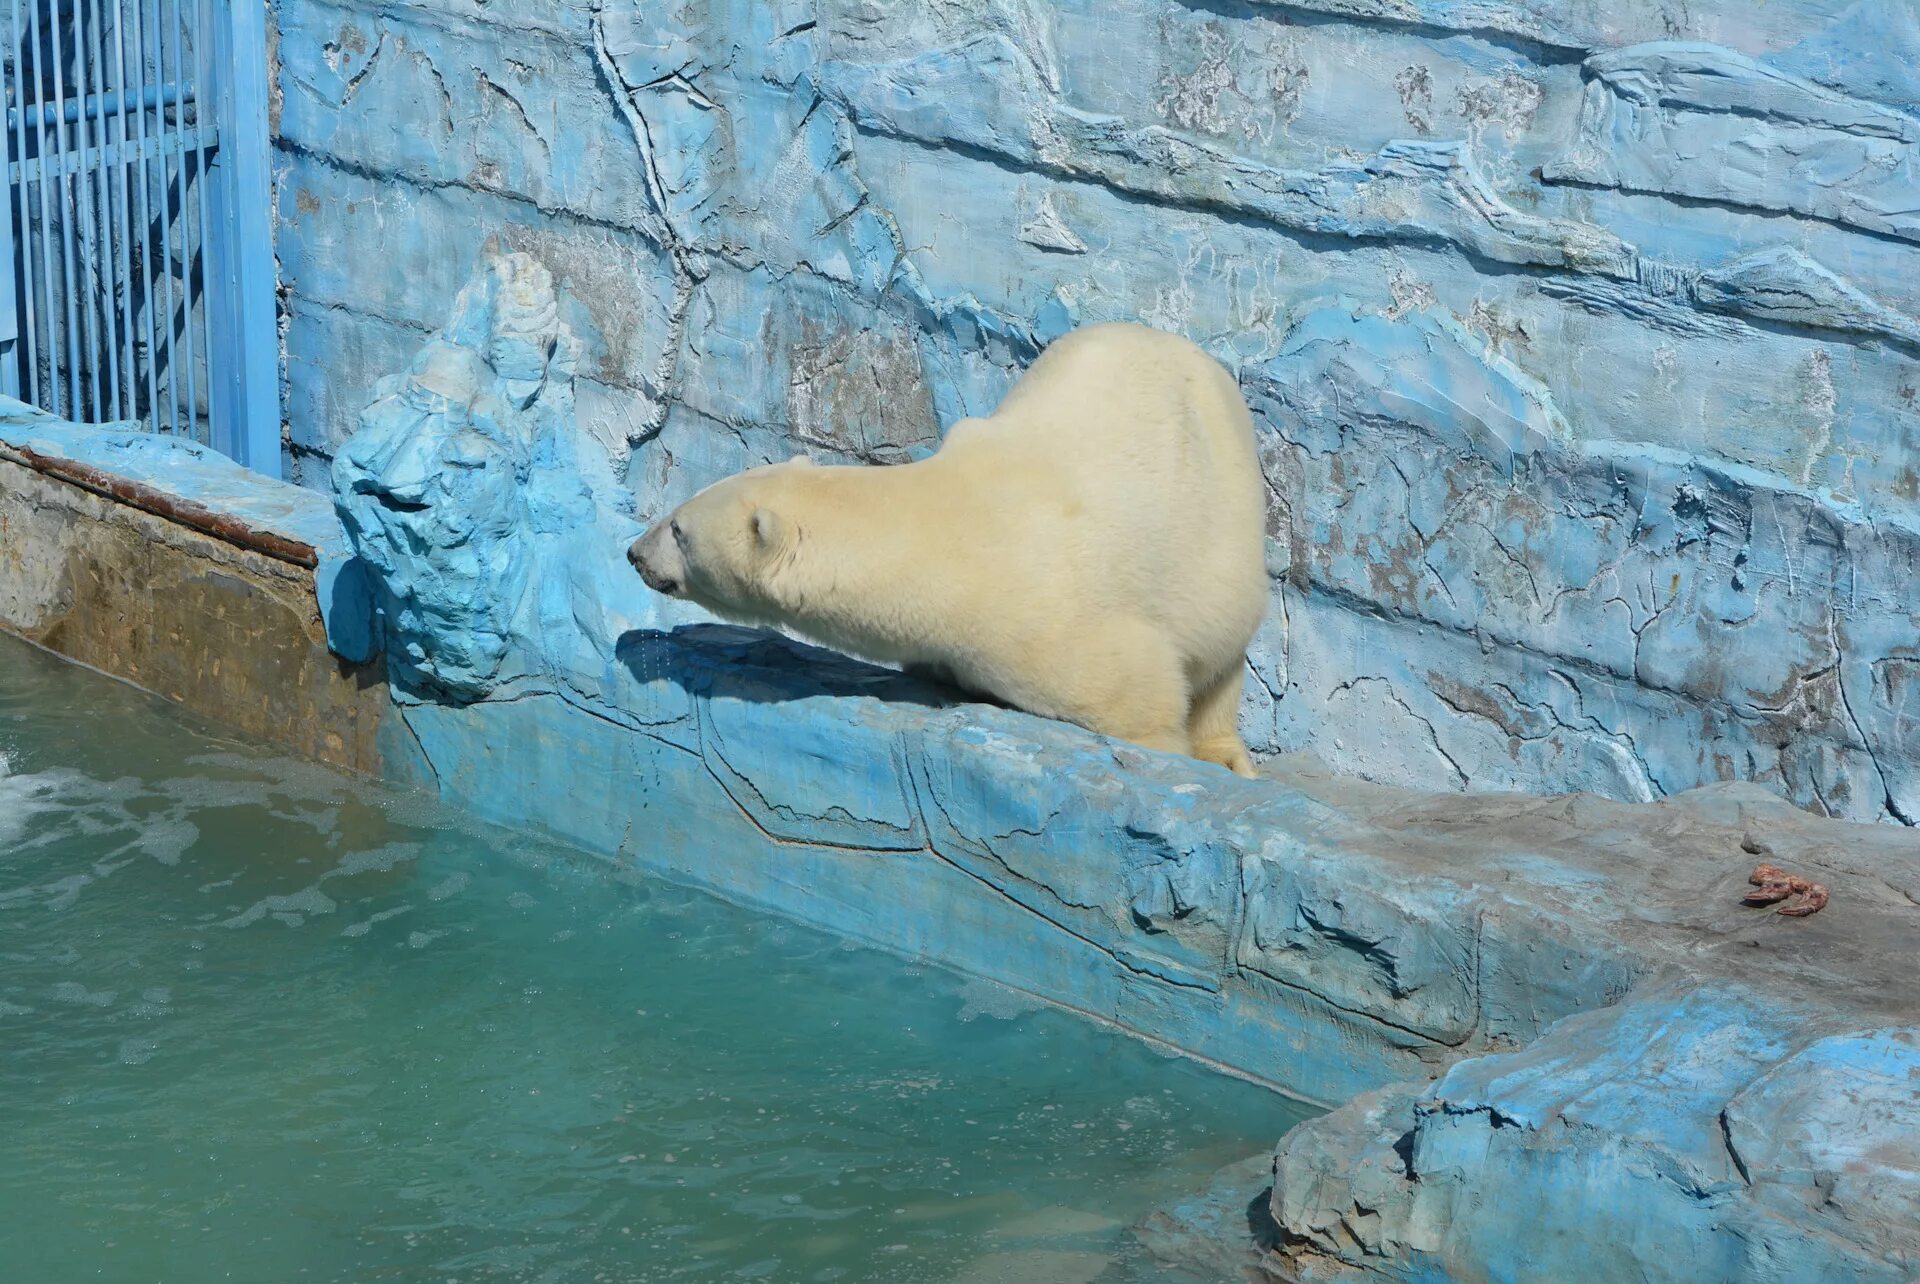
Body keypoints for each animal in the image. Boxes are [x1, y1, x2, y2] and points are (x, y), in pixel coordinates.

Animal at [622, 326, 1267, 775]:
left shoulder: (1055, 628)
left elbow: (1140, 702)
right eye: (678, 511)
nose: (633, 553)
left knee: (1218, 657)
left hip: (1222, 531)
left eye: (678, 530)